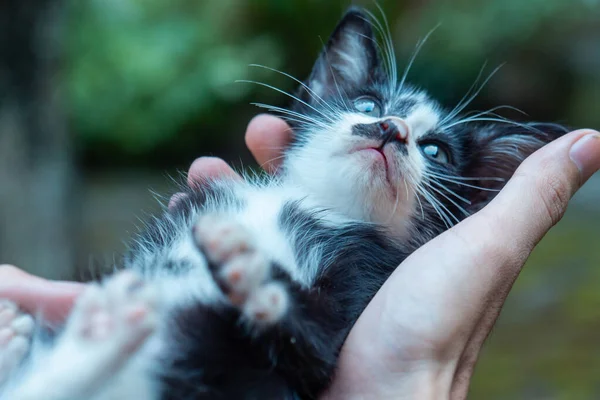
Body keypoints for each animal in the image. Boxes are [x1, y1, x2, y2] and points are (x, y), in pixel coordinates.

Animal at [0, 6, 568, 400]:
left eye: (435, 151)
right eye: (368, 104)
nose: (392, 129)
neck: (318, 205)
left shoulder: (362, 280)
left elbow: (314, 348)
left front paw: (249, 269)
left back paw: (99, 331)